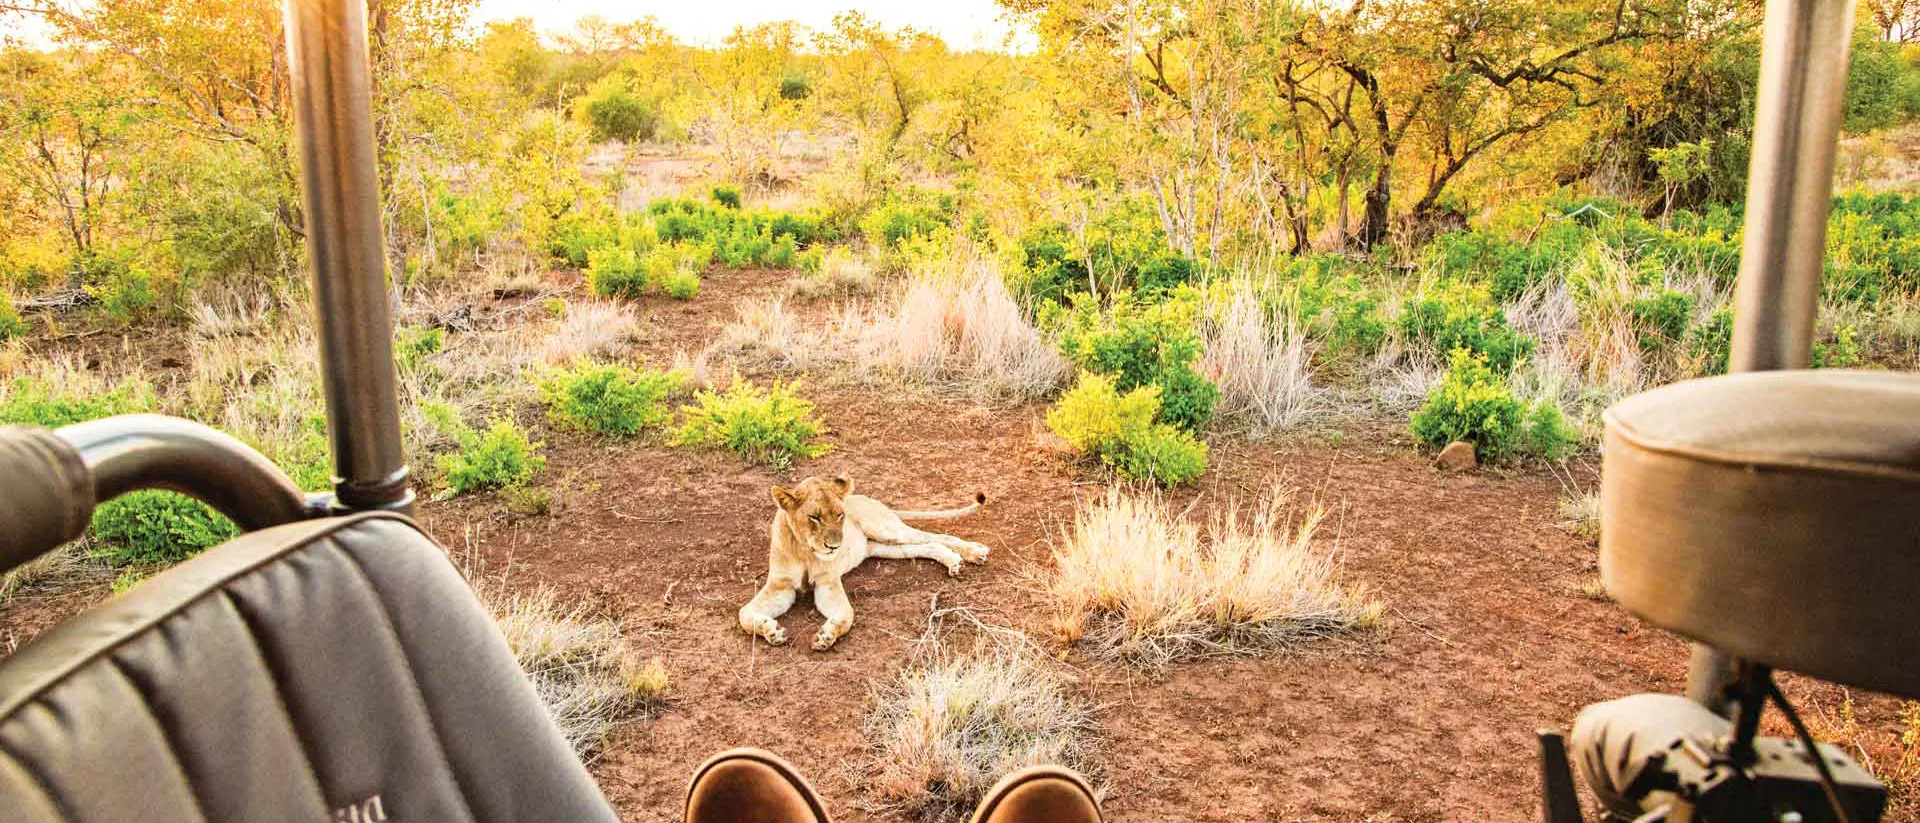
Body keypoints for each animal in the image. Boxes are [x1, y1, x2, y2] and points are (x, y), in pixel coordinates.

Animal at [738, 474, 991, 651]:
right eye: (815, 517)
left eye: (840, 515)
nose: (835, 547)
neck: (805, 551)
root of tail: (870, 499)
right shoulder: (779, 586)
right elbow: (744, 615)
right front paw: (772, 632)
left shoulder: (827, 585)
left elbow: (846, 615)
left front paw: (826, 637)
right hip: (881, 547)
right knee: (928, 546)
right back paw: (953, 561)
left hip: (885, 529)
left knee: (938, 537)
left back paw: (974, 552)